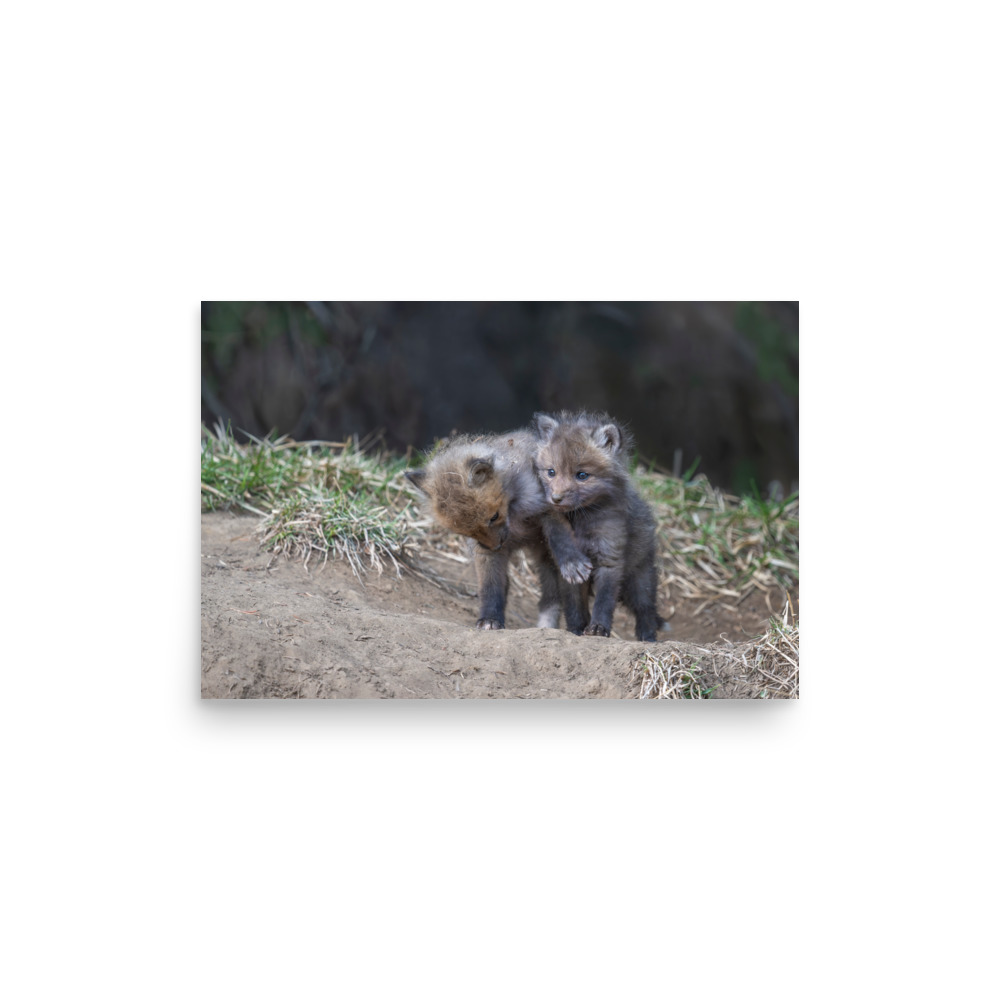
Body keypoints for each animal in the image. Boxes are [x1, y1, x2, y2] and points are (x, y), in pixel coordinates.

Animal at [405, 430, 591, 631]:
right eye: (465, 532)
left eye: (494, 517)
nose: (495, 547)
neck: (514, 512)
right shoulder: (483, 552)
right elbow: (490, 586)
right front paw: (490, 619)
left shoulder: (549, 507)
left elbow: (560, 537)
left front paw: (572, 562)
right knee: (549, 597)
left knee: (570, 600)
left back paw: (577, 629)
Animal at [532, 410, 666, 642]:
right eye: (551, 472)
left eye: (582, 475)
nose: (556, 498)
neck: (581, 521)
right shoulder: (569, 571)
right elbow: (574, 605)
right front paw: (576, 630)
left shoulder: (609, 558)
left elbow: (604, 601)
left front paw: (598, 629)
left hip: (639, 579)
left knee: (646, 610)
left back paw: (647, 639)